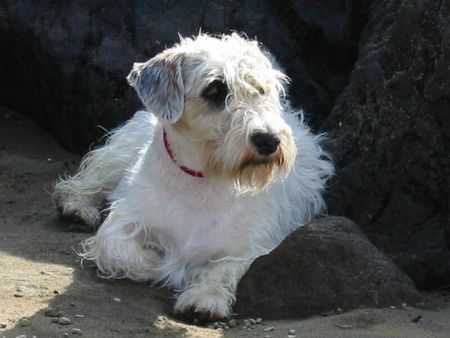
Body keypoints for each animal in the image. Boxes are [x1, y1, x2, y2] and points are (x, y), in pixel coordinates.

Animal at [53, 33, 334, 320]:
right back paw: (77, 208)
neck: (203, 178)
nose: (268, 140)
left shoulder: (255, 247)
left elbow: (224, 269)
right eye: (215, 90)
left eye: (261, 90)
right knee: (85, 182)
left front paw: (203, 298)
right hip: (117, 156)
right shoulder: (126, 220)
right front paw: (158, 263)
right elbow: (116, 248)